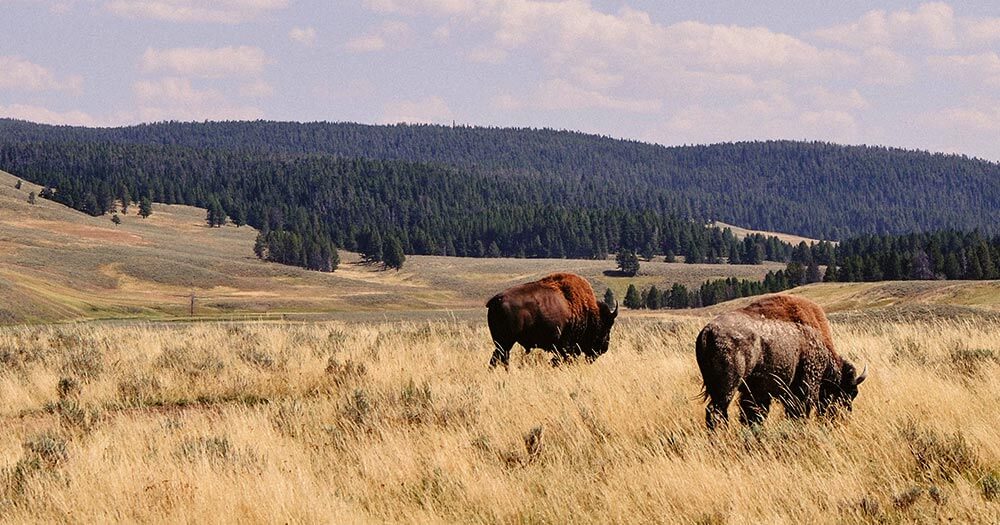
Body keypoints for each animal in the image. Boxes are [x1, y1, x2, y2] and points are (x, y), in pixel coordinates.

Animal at [486, 272, 616, 366]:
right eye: (606, 328)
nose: (604, 348)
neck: (588, 311)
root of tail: (497, 299)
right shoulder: (567, 347)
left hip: (502, 343)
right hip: (505, 342)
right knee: (501, 359)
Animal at [696, 292, 868, 428]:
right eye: (848, 393)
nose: (842, 418)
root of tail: (708, 331)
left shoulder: (756, 392)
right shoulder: (805, 384)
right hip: (728, 386)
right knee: (715, 411)